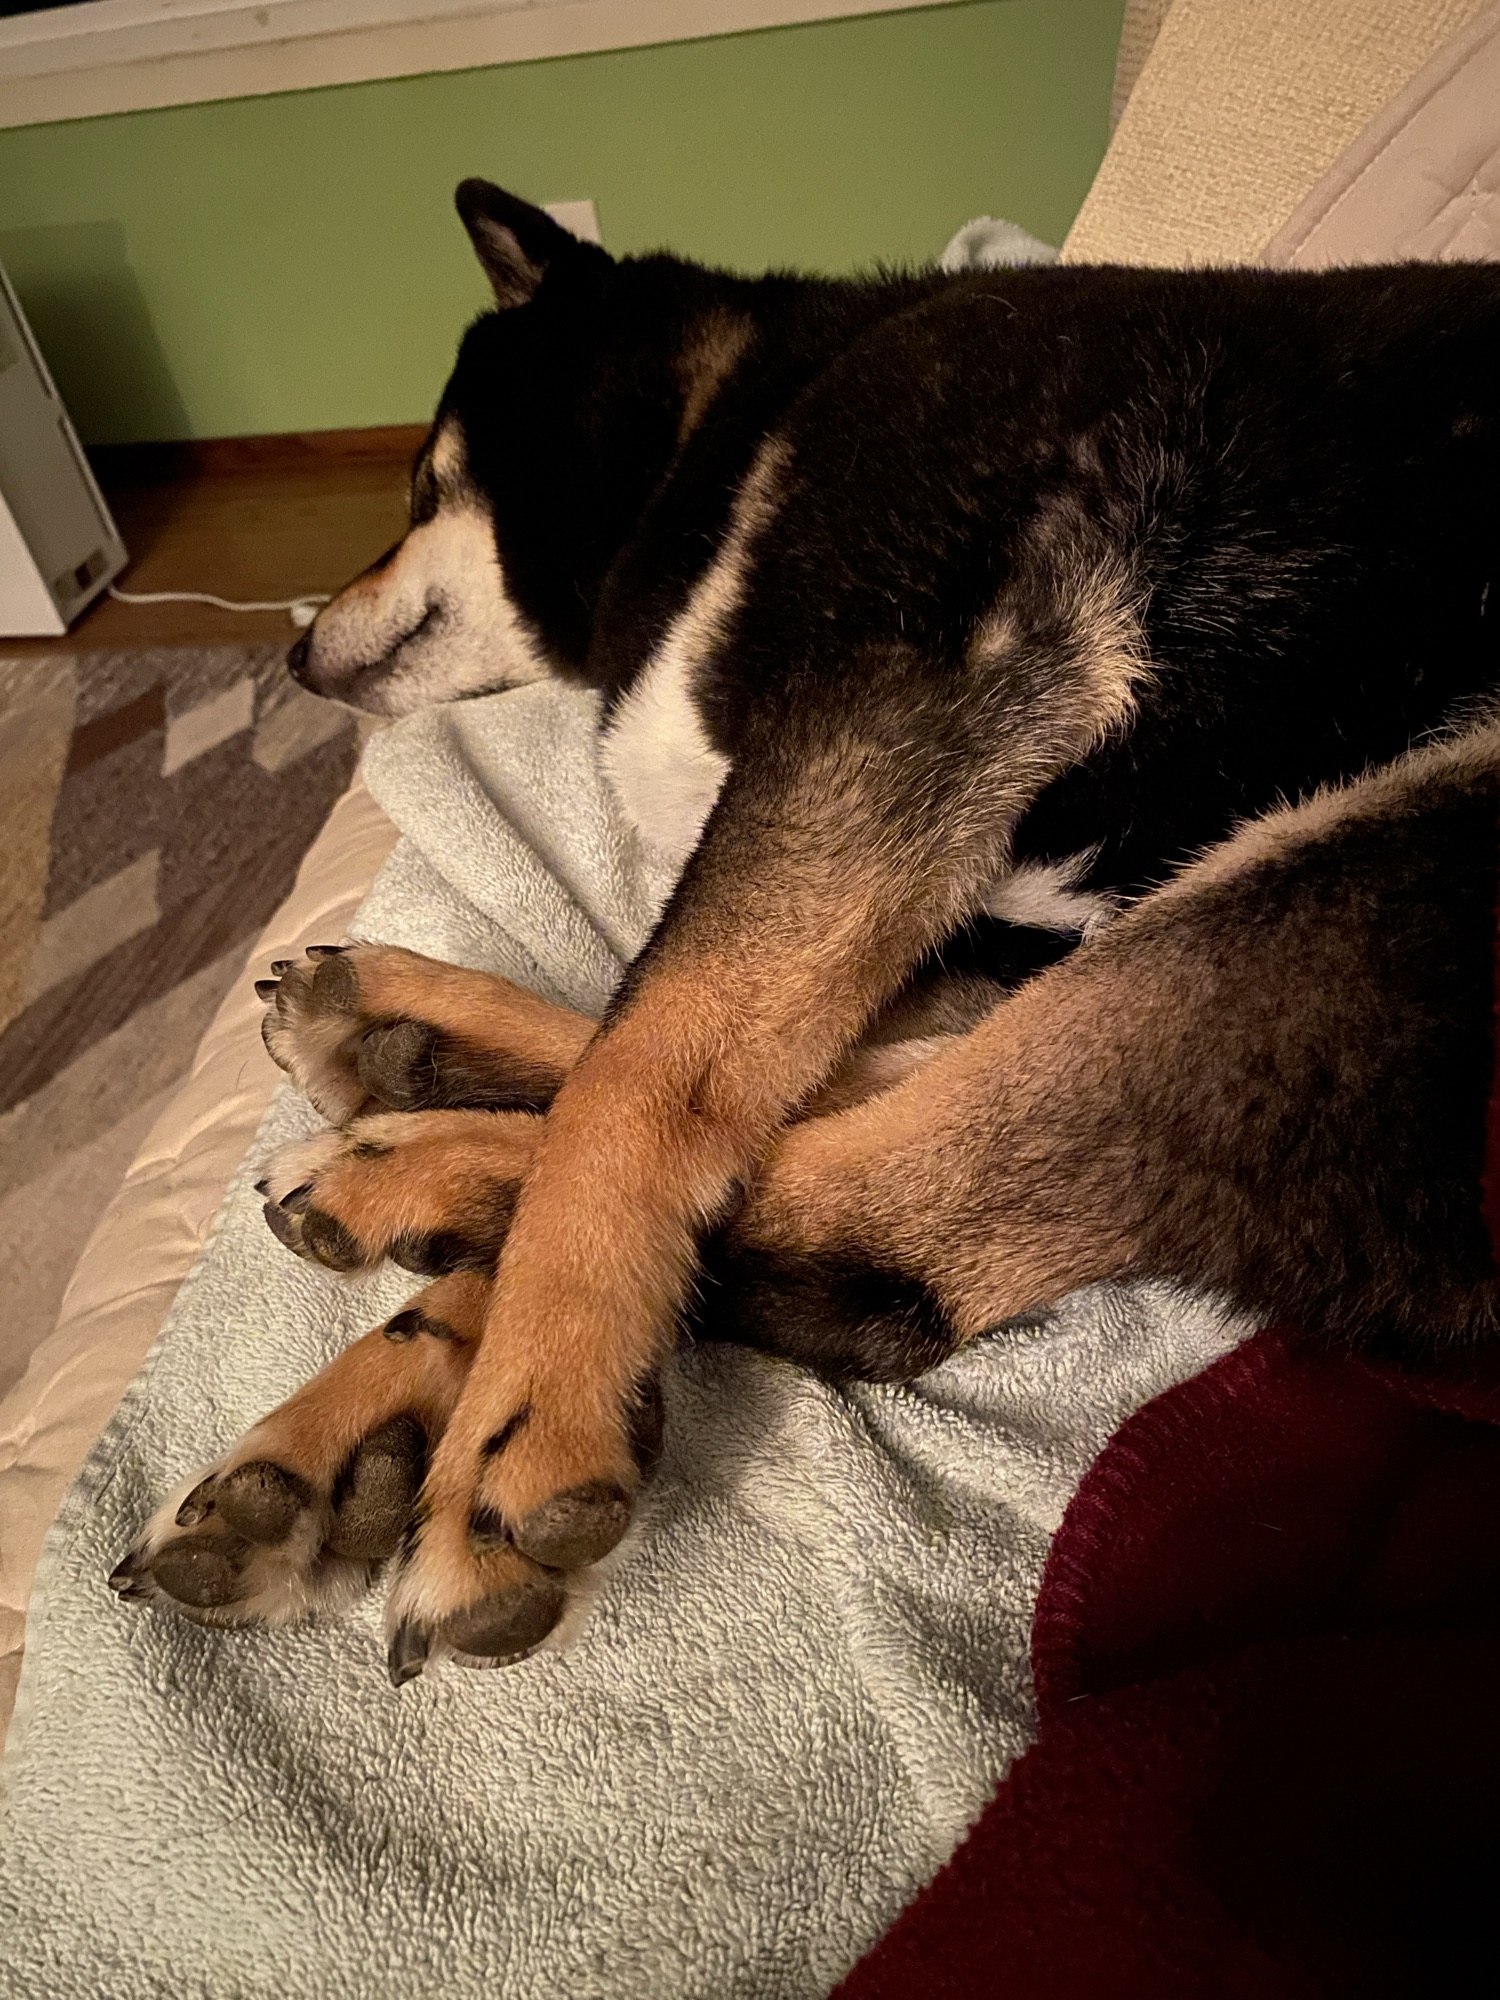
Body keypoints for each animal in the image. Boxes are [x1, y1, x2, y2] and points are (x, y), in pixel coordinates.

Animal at [111, 184, 1500, 1682]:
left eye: (425, 486)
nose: (294, 655)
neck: (734, 427)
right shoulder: (962, 893)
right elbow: (697, 1041)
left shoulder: (913, 693)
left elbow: (644, 1063)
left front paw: (528, 1411)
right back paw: (393, 1142)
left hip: (1376, 864)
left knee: (886, 1252)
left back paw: (422, 1189)